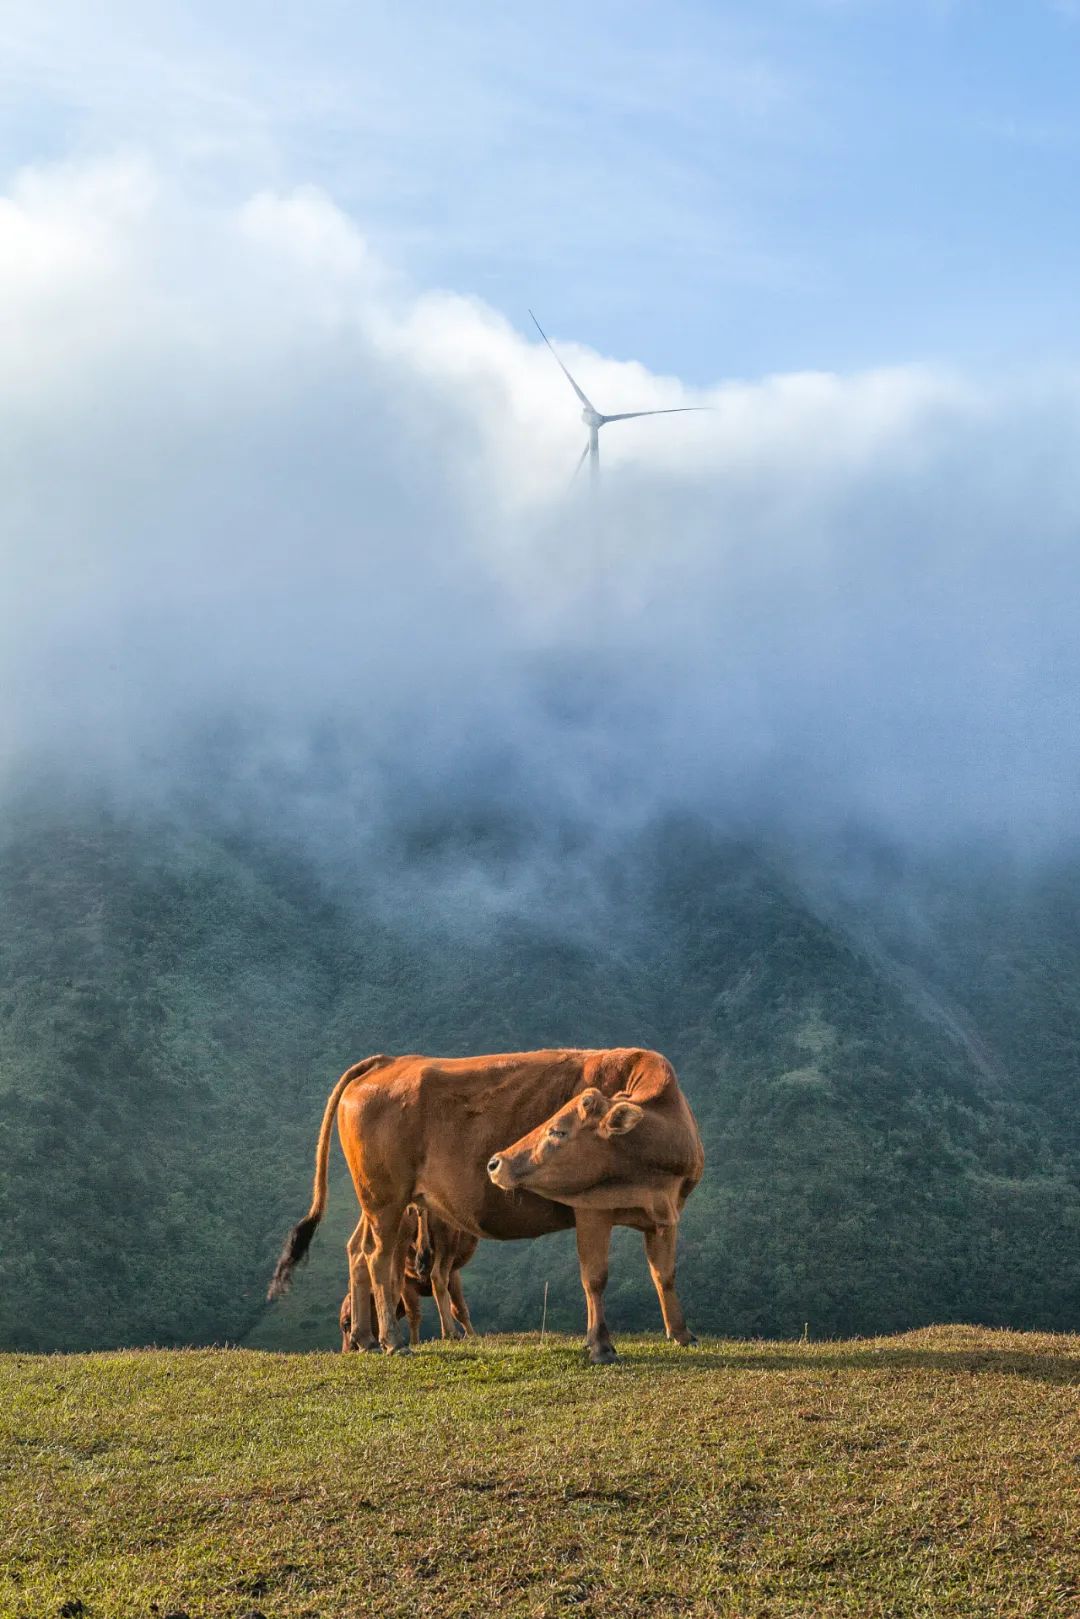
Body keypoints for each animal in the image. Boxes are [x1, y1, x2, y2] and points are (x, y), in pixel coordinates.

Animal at [341, 1204, 476, 1353]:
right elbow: (457, 1309)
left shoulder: (415, 1280)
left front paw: (414, 1342)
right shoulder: (451, 1273)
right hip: (443, 1236)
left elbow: (416, 1313)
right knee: (437, 1277)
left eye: (346, 1323)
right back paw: (450, 1334)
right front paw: (472, 1337)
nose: (347, 1350)